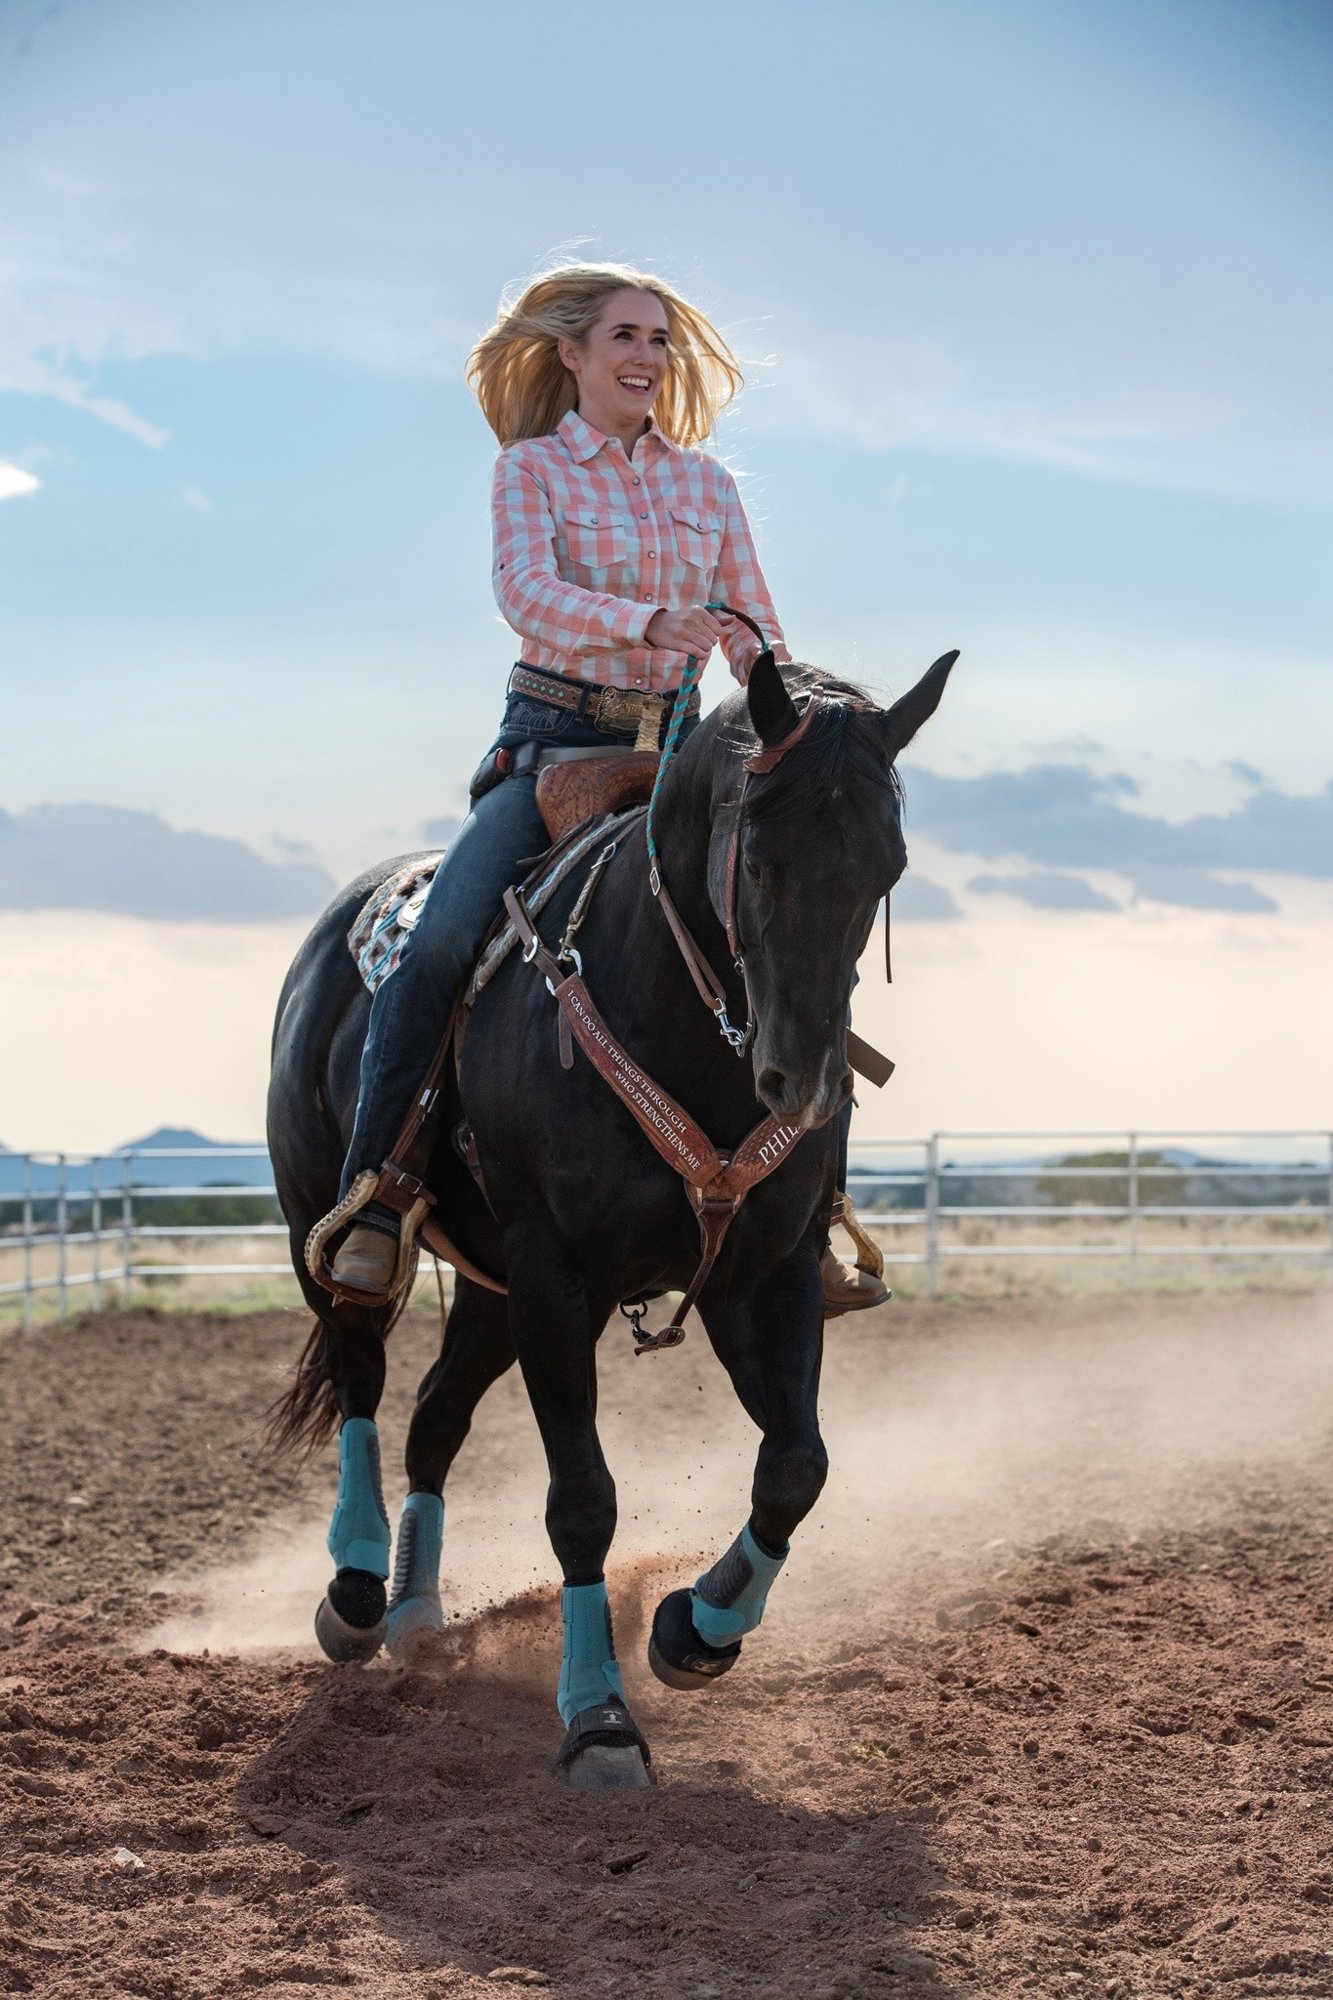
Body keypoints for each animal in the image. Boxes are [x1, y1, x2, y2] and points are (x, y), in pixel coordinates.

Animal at [268, 656, 956, 1800]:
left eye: (887, 866)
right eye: (758, 859)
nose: (806, 1085)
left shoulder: (763, 1277)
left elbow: (796, 1464)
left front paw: (696, 1628)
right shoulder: (558, 1280)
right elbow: (582, 1500)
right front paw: (598, 1718)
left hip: (491, 1291)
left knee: (433, 1417)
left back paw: (418, 1609)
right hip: (326, 1226)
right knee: (363, 1374)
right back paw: (359, 1589)